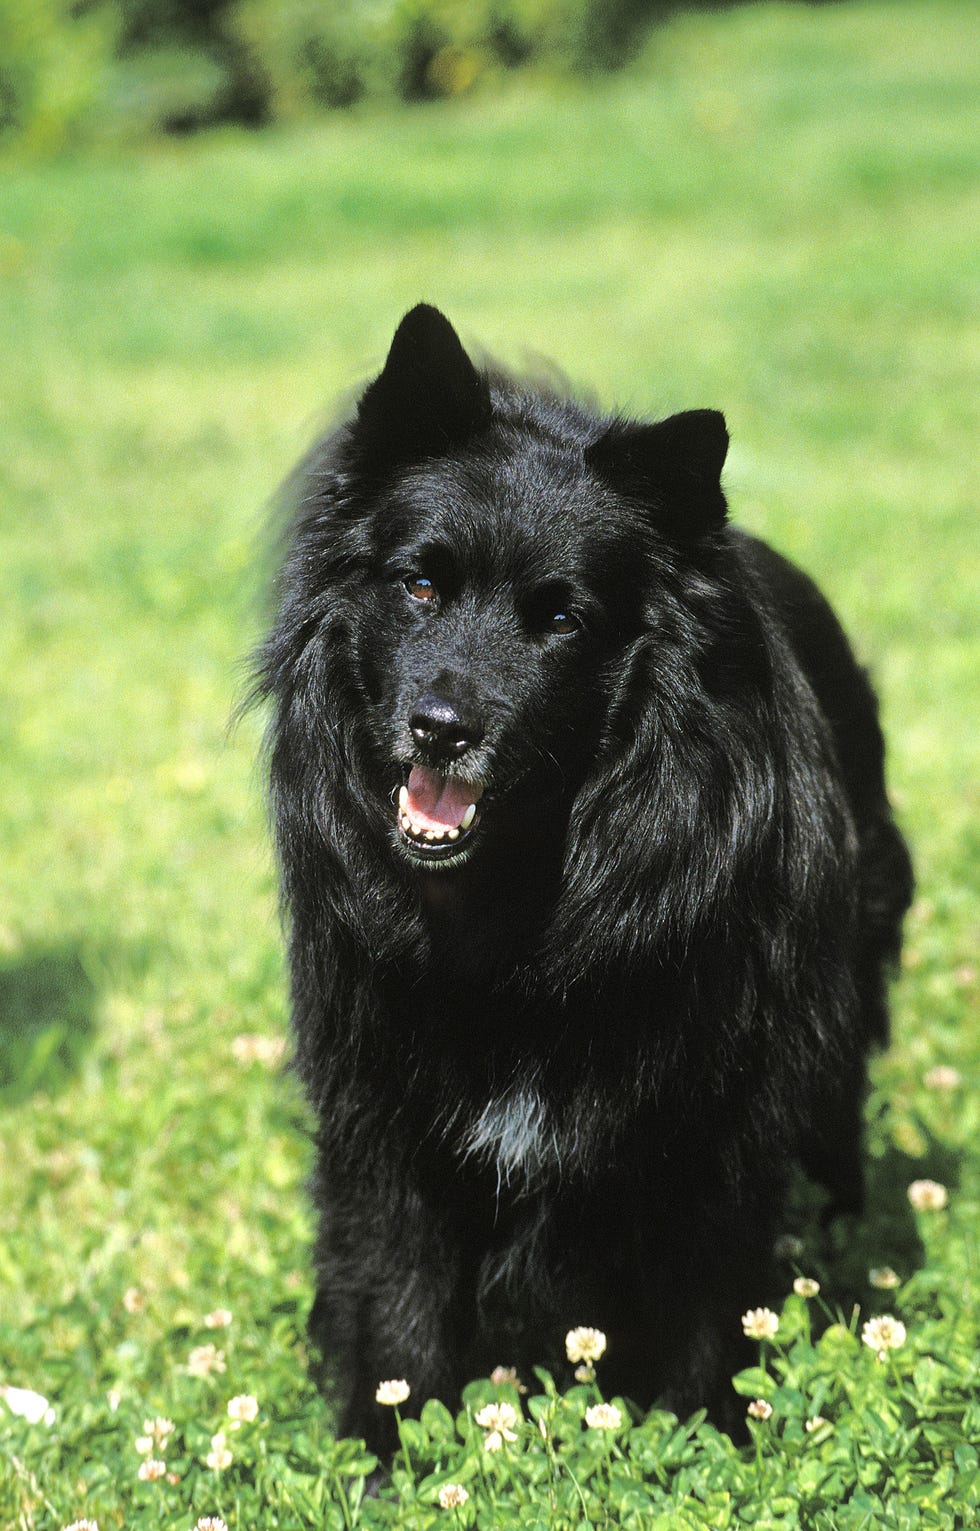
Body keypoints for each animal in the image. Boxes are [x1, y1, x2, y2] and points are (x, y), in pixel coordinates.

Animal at [252, 304, 912, 1451]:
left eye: (561, 618)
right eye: (419, 584)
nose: (440, 727)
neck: (521, 903)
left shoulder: (713, 1122)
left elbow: (705, 1309)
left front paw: (702, 1448)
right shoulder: (385, 1119)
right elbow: (396, 1309)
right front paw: (386, 1462)